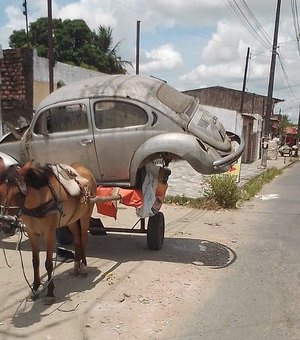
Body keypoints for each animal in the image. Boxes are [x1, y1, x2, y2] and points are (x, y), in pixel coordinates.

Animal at [0, 159, 119, 306]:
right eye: (0, 193)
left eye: (18, 194)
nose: (6, 226)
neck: (38, 203)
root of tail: (84, 170)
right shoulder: (32, 232)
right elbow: (35, 261)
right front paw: (35, 289)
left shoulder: (49, 234)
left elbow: (48, 263)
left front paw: (50, 293)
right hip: (72, 219)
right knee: (77, 239)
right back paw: (76, 267)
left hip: (85, 215)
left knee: (83, 238)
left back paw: (83, 267)